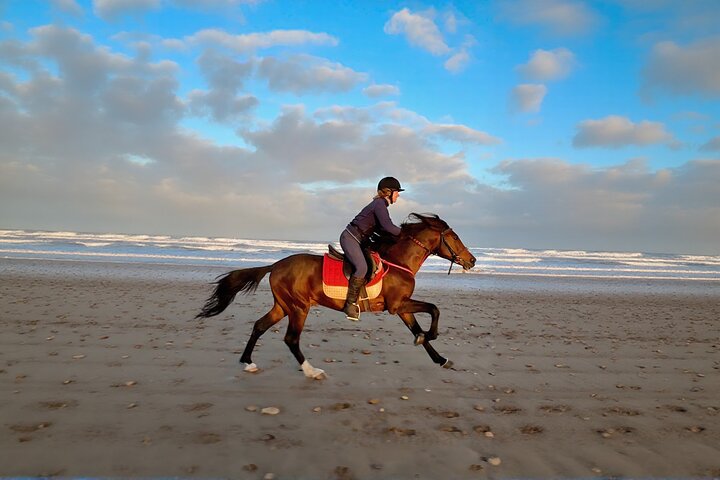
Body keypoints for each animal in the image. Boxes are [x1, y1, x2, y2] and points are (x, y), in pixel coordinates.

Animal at [196, 213, 476, 379]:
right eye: (454, 236)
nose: (472, 260)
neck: (398, 261)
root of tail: (275, 265)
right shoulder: (398, 305)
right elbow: (434, 309)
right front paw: (430, 335)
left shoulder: (402, 308)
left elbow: (418, 328)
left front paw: (440, 358)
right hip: (298, 307)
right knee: (291, 338)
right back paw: (311, 371)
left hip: (283, 306)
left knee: (259, 326)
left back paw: (248, 362)